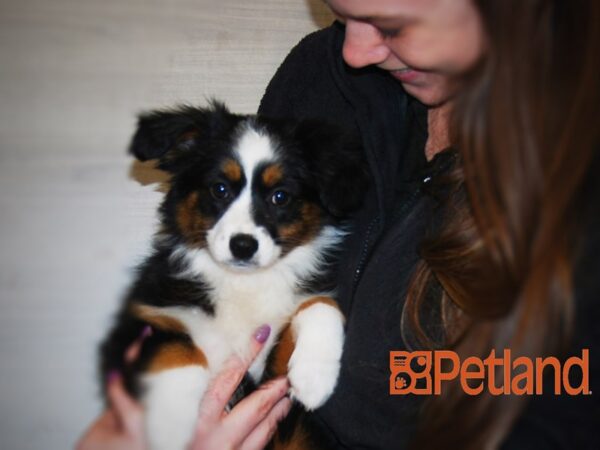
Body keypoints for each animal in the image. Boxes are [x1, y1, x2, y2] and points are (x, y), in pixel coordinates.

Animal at [99, 102, 366, 450]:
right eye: (220, 189)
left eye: (280, 196)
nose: (242, 246)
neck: (242, 283)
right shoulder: (139, 324)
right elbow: (179, 350)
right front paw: (171, 425)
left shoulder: (271, 374)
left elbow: (320, 304)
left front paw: (314, 376)